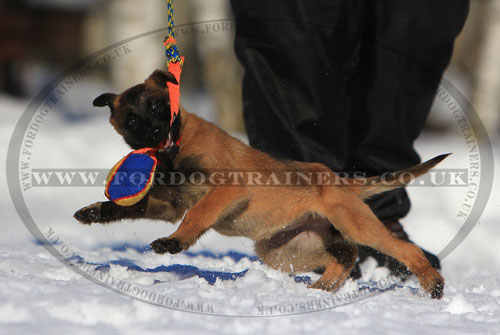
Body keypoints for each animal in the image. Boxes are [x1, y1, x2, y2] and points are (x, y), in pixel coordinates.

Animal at [73, 69, 446, 300]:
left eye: (156, 105)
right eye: (131, 120)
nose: (154, 134)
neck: (175, 150)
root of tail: (340, 182)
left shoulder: (226, 189)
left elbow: (197, 215)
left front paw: (174, 242)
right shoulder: (170, 205)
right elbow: (129, 206)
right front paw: (95, 212)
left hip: (353, 224)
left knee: (402, 250)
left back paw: (432, 284)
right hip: (285, 249)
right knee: (346, 255)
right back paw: (321, 288)